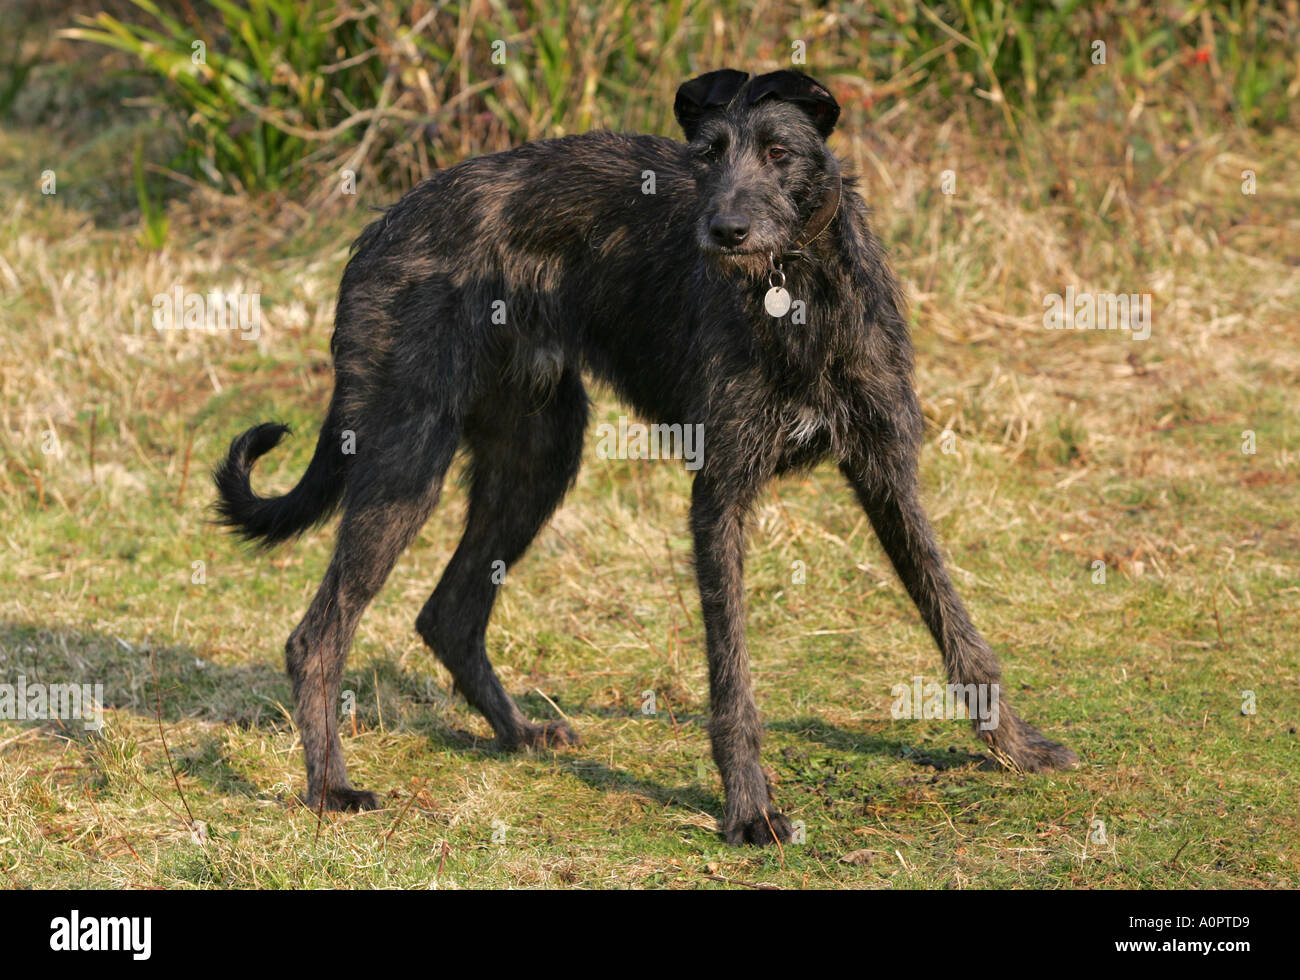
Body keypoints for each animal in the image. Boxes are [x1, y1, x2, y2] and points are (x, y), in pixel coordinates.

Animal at [215, 68, 1076, 842]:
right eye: (706, 156)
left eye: (779, 152)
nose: (724, 232)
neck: (793, 295)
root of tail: (379, 228)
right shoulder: (719, 495)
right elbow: (733, 678)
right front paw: (749, 808)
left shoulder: (887, 475)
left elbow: (956, 625)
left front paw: (1015, 748)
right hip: (408, 457)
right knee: (318, 637)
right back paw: (330, 787)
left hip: (538, 457)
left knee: (449, 613)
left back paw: (519, 735)